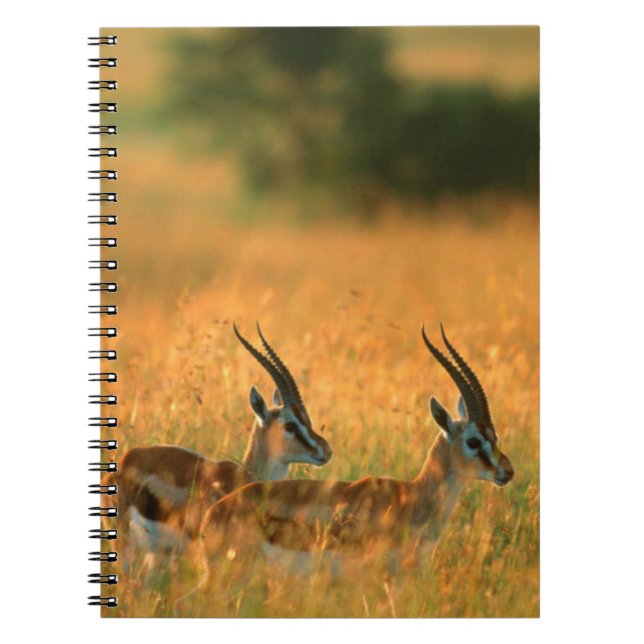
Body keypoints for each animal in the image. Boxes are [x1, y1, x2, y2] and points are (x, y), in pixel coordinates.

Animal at [104, 323, 333, 572]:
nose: (326, 450)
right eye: (290, 425)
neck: (242, 478)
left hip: (155, 555)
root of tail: (123, 462)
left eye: (307, 419)